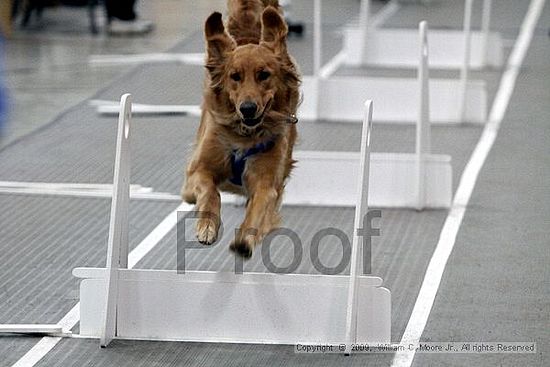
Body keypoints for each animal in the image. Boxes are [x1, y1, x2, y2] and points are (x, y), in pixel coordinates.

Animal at [182, 0, 302, 258]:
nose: (247, 108)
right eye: (234, 76)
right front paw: (207, 226)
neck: (243, 136)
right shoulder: (195, 174)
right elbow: (210, 192)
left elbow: (259, 208)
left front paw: (245, 239)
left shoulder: (268, 183)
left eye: (264, 74)